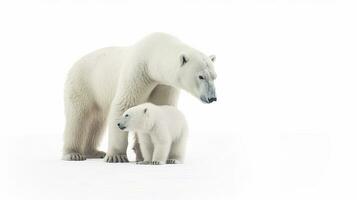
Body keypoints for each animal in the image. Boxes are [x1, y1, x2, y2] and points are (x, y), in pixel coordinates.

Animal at [62, 32, 216, 162]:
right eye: (201, 76)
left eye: (215, 76)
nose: (212, 98)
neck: (153, 54)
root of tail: (75, 63)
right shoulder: (138, 71)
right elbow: (123, 104)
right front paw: (117, 157)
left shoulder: (164, 84)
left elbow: (160, 109)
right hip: (83, 84)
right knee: (79, 118)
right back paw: (74, 154)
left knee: (96, 121)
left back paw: (94, 152)